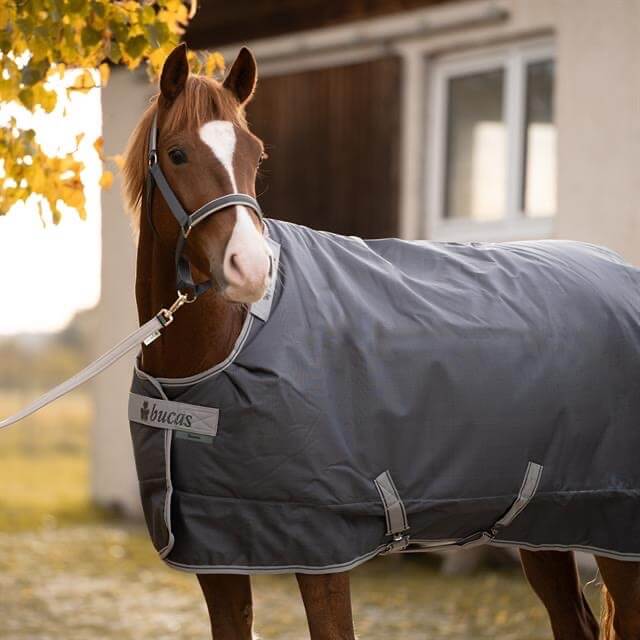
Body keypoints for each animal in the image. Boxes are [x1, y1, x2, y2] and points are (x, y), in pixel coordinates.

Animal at [122, 43, 640, 640]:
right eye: (178, 154)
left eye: (256, 155)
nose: (250, 268)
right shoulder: (218, 551)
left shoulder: (321, 549)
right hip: (543, 523)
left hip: (615, 526)